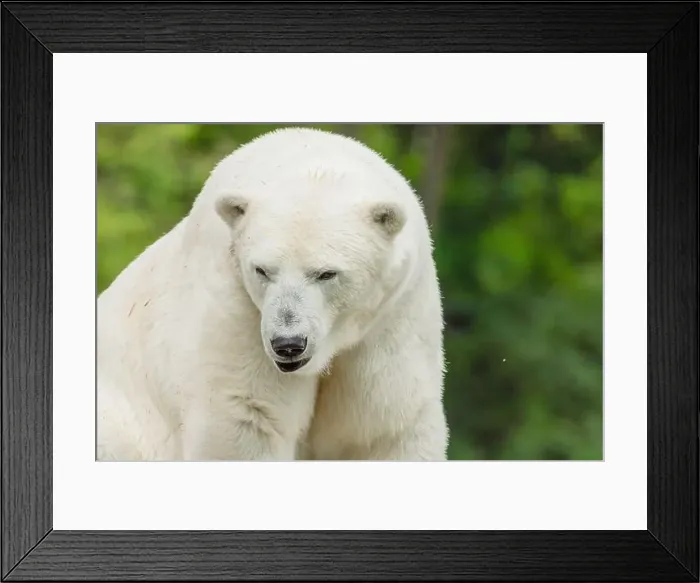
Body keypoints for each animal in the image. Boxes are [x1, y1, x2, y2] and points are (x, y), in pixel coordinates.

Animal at [96, 127, 449, 461]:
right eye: (262, 270)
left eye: (326, 273)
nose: (288, 344)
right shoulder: (236, 305)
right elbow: (247, 414)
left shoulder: (390, 317)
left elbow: (383, 427)